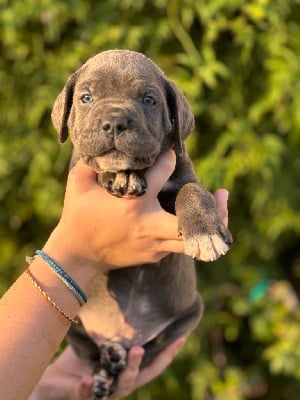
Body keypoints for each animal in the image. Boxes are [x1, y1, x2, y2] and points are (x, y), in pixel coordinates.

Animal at [51, 50, 233, 400]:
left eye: (149, 100)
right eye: (86, 98)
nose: (114, 122)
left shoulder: (182, 173)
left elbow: (193, 192)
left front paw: (205, 232)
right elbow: (99, 168)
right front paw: (118, 177)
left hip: (190, 313)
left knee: (149, 350)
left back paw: (116, 358)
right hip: (72, 322)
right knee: (90, 353)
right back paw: (104, 371)